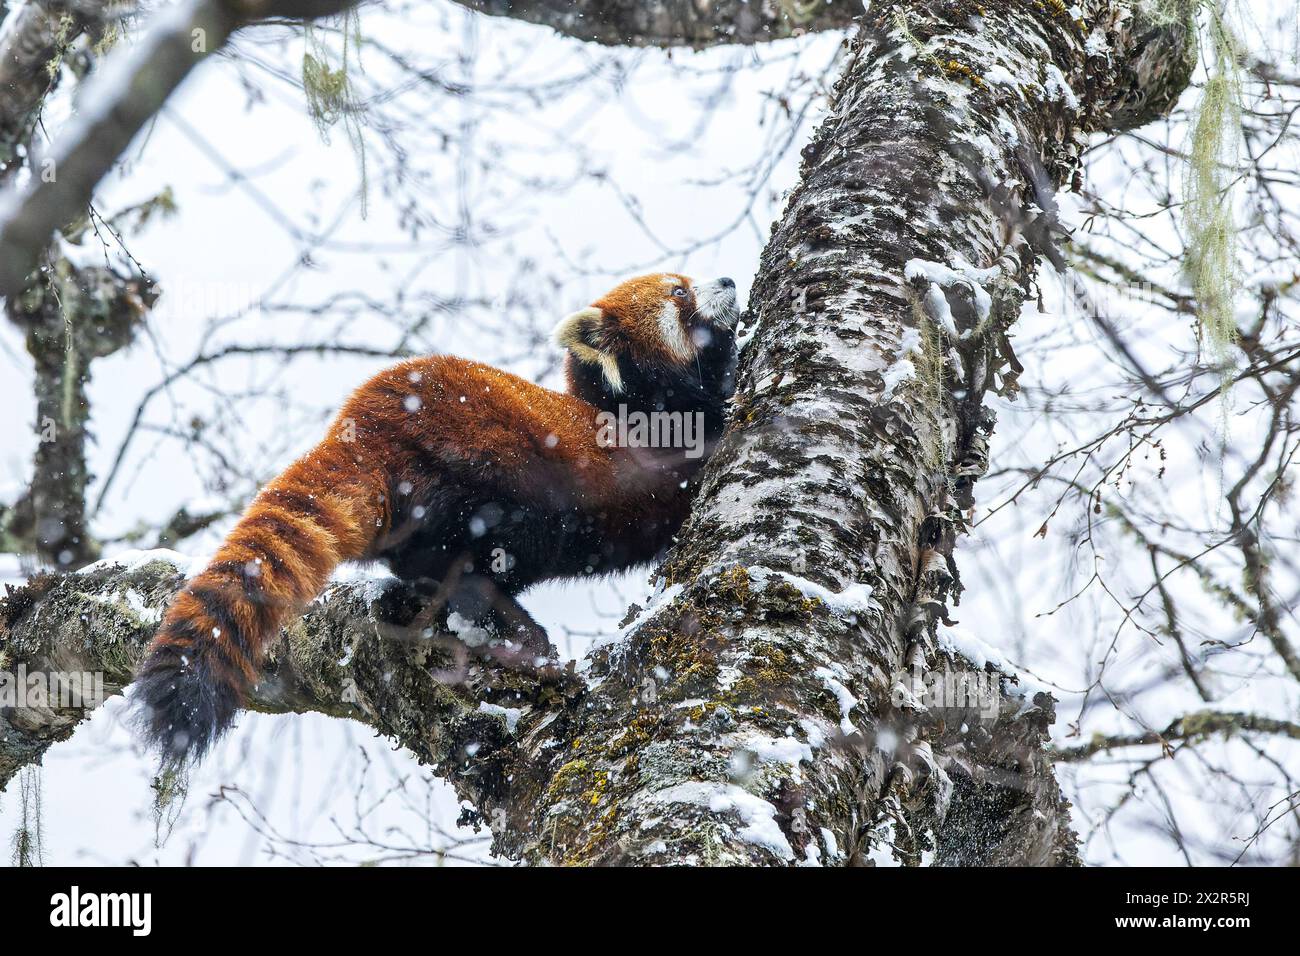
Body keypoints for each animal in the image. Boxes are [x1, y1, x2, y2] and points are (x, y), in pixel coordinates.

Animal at [138, 273, 743, 759]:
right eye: (680, 292)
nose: (729, 280)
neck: (620, 399)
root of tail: (363, 423)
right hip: (485, 470)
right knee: (479, 557)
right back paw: (510, 629)